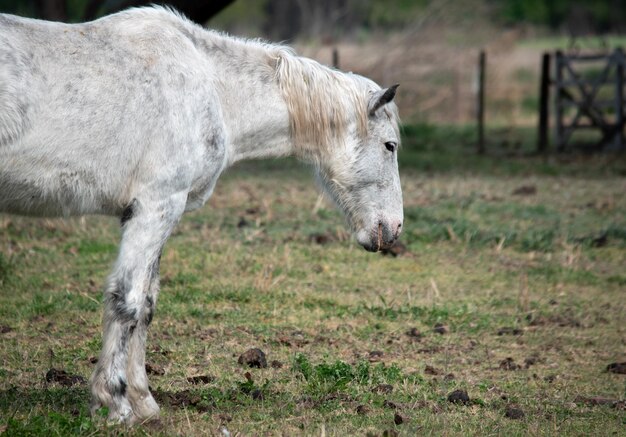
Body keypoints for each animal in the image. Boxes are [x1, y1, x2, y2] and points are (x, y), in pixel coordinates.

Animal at [0, 6, 400, 422]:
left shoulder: (148, 212)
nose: (392, 229)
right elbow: (127, 301)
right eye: (390, 146)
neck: (212, 89)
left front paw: (143, 402)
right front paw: (116, 403)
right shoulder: (156, 205)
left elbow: (146, 305)